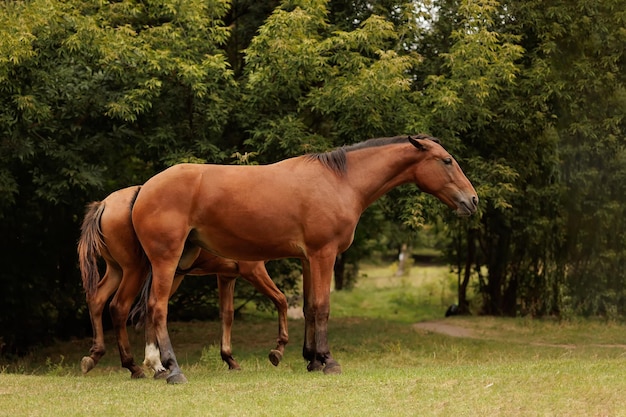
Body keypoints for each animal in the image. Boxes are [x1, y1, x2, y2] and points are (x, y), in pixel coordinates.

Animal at [77, 185, 288, 376]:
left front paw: (229, 359)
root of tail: (105, 204)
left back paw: (97, 356)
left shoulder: (226, 276)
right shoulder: (253, 270)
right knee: (119, 307)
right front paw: (278, 349)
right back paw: (135, 366)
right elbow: (281, 300)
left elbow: (227, 314)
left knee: (98, 299)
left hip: (119, 270)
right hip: (136, 271)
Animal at [129, 135, 476, 382]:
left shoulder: (309, 258)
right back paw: (172, 370)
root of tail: (145, 188)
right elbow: (323, 307)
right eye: (447, 160)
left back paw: (156, 366)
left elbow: (309, 307)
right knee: (158, 308)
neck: (340, 182)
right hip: (167, 261)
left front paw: (311, 359)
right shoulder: (324, 254)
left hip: (178, 262)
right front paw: (329, 361)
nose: (472, 200)